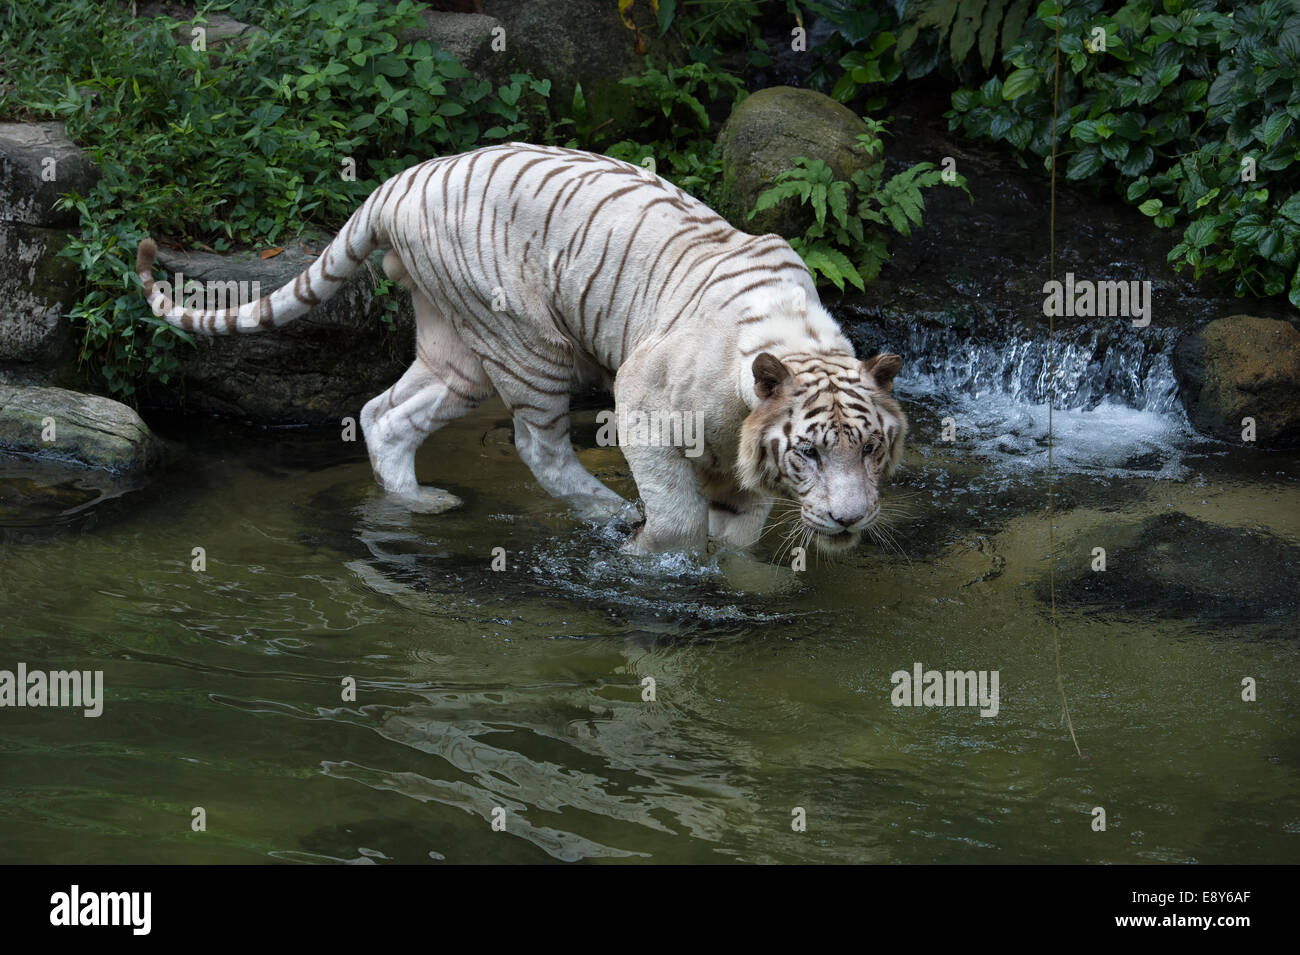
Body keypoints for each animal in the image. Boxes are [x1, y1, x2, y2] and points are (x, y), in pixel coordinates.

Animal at [134, 145, 904, 556]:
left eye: (870, 449)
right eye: (809, 452)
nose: (849, 518)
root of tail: (399, 179)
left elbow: (738, 534)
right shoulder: (644, 401)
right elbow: (678, 517)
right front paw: (650, 553)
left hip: (459, 351)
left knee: (386, 413)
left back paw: (420, 504)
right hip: (528, 344)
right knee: (539, 446)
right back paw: (608, 513)